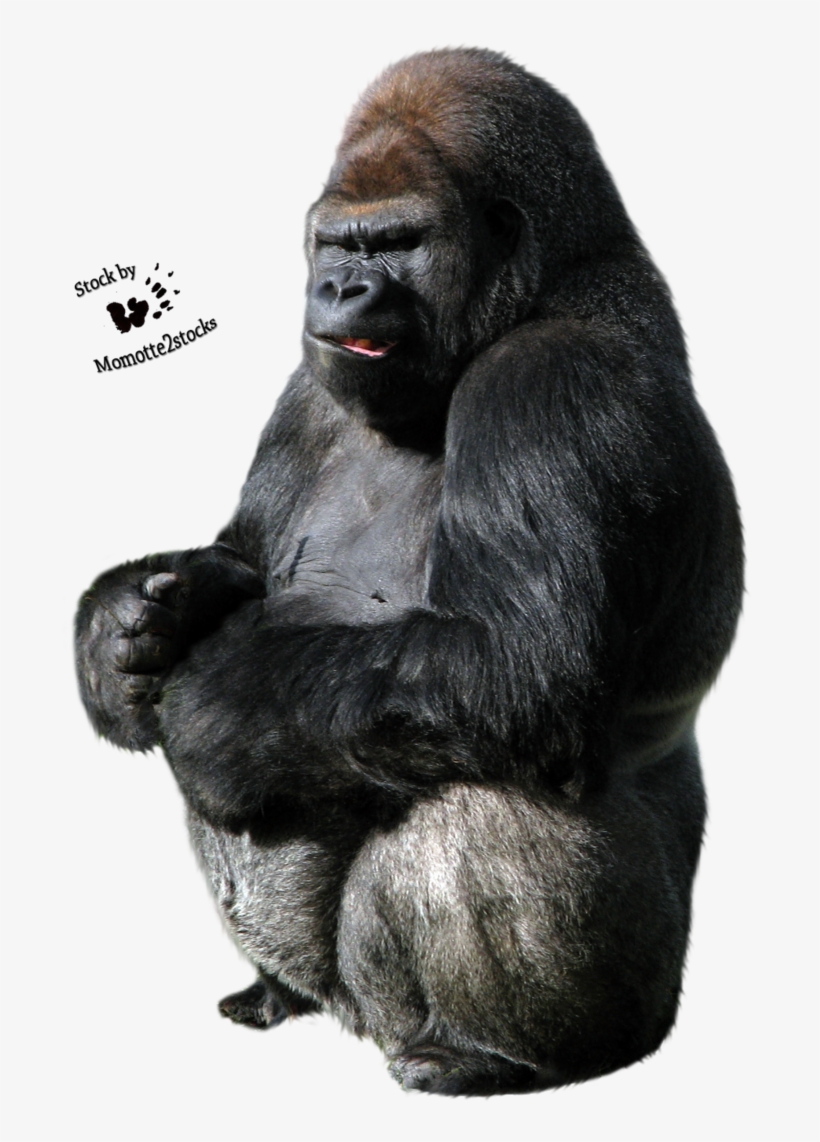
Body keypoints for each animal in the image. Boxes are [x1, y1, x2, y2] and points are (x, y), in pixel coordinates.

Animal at [75, 48, 743, 1095]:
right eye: (332, 243)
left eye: (397, 243)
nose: (340, 290)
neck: (552, 281)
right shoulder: (307, 388)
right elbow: (239, 560)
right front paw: (120, 632)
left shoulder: (555, 382)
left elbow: (515, 666)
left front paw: (216, 707)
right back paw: (275, 995)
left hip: (640, 1000)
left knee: (482, 783)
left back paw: (490, 1057)